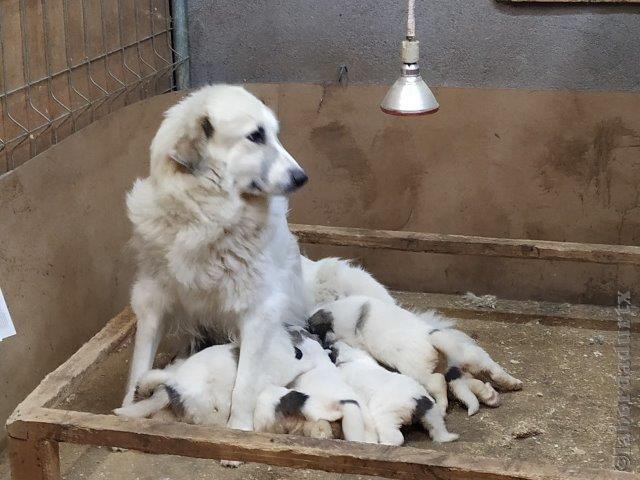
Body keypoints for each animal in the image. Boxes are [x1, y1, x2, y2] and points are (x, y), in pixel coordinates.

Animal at [124, 83, 312, 432]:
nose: (302, 177)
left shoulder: (259, 311)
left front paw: (238, 430)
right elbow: (138, 367)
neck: (204, 217)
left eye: (275, 135)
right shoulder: (151, 299)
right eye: (255, 136)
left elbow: (245, 384)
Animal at [308, 294, 524, 414]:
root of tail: (432, 340)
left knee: (438, 383)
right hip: (471, 356)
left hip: (420, 373)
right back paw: (511, 384)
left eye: (313, 327)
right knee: (491, 368)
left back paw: (441, 407)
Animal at [330, 340, 460, 444]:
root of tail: (417, 399)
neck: (351, 359)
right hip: (432, 412)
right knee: (437, 427)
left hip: (385, 417)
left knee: (397, 438)